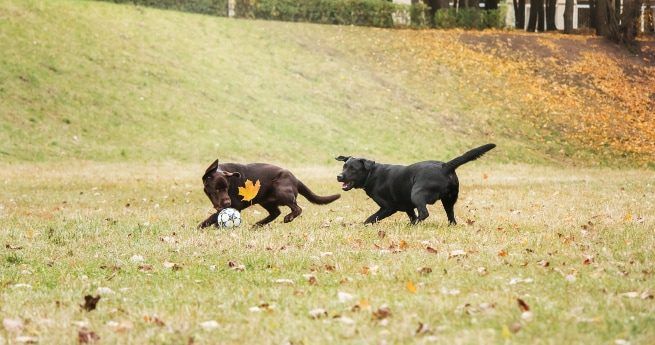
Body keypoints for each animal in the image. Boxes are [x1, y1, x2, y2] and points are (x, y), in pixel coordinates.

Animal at [199, 159, 344, 228]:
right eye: (217, 189)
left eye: (227, 188)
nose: (227, 202)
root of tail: (296, 179)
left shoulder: (236, 205)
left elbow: (213, 217)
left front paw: (202, 226)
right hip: (265, 200)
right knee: (276, 212)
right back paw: (258, 224)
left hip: (281, 191)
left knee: (297, 208)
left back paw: (288, 218)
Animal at [336, 144, 494, 224]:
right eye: (344, 166)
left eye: (353, 169)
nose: (339, 176)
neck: (372, 174)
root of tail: (445, 166)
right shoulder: (407, 206)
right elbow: (411, 214)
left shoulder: (388, 207)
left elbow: (371, 219)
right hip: (449, 200)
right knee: (451, 216)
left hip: (417, 193)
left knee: (424, 213)